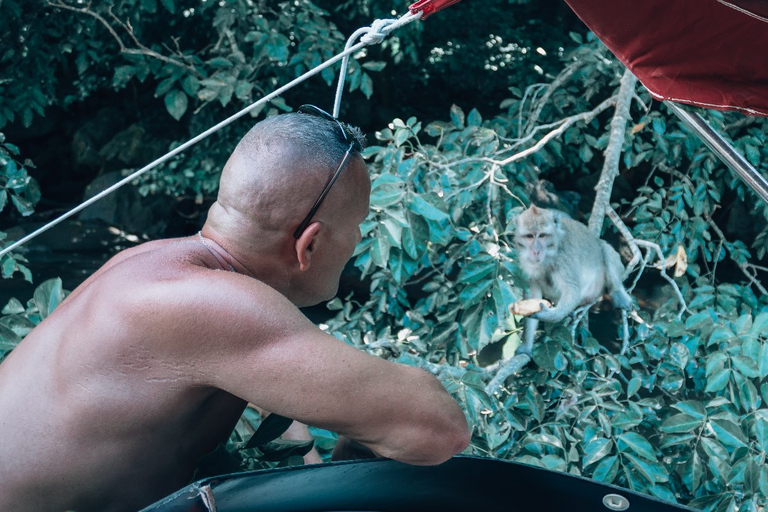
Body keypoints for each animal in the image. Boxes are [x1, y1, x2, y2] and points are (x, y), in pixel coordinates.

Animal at [512, 204, 632, 356]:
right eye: (529, 236)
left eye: (542, 235)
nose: (536, 251)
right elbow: (532, 295)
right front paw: (526, 346)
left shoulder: (563, 258)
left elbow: (572, 291)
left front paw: (548, 316)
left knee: (605, 251)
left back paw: (618, 294)